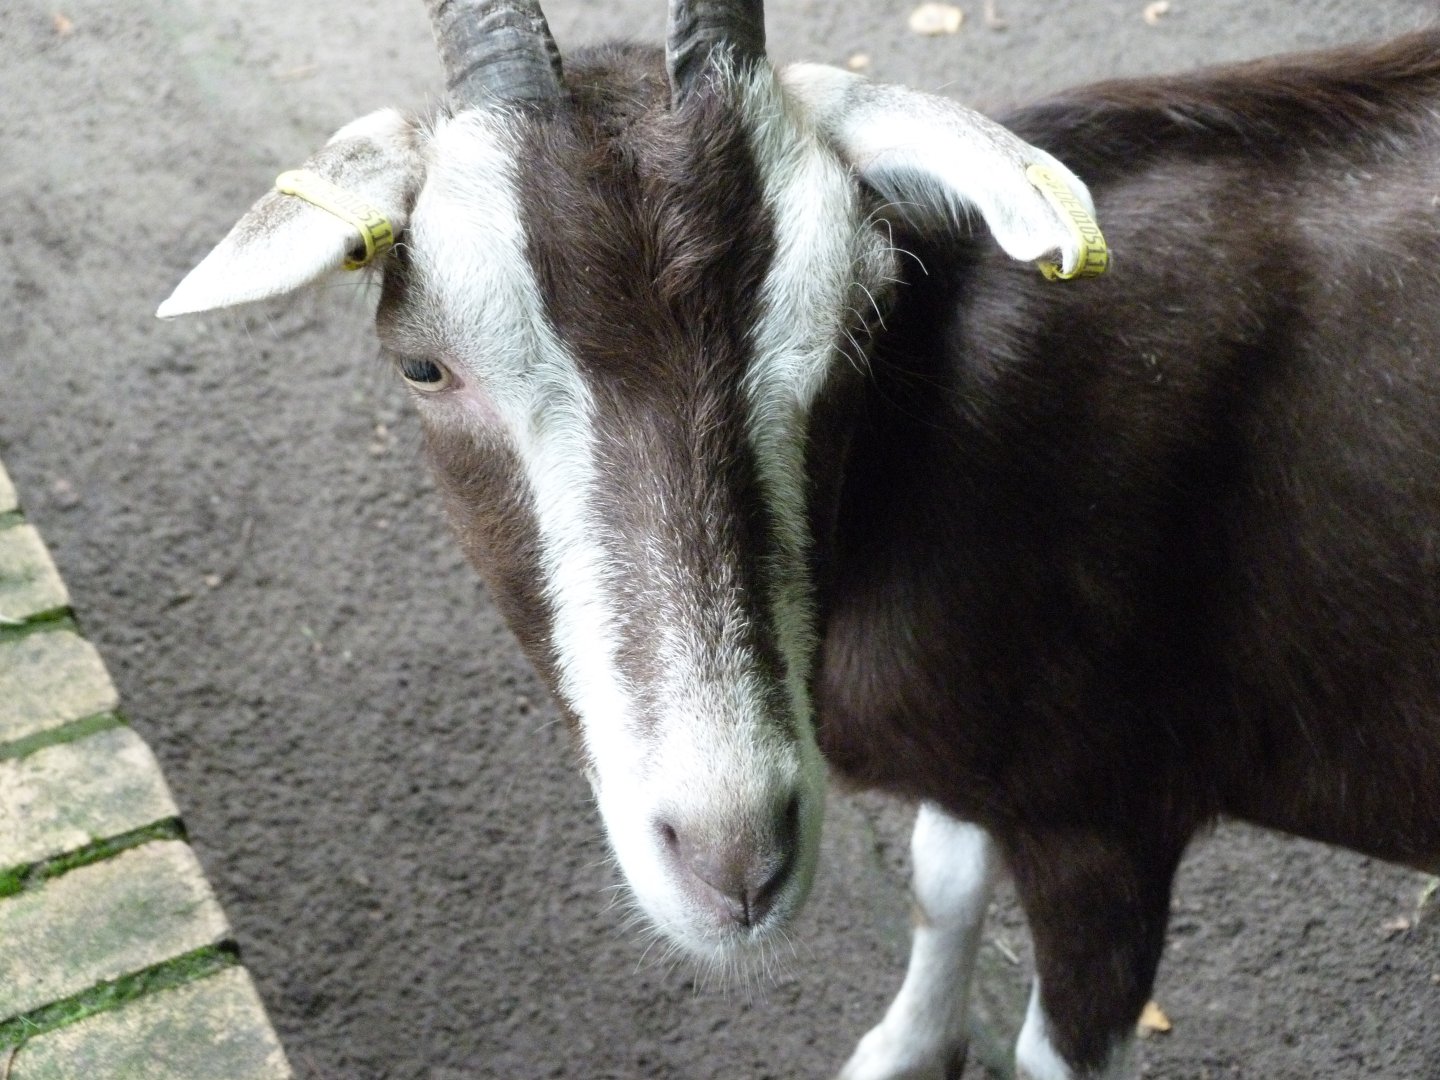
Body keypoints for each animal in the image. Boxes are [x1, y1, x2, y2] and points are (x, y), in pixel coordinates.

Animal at [157, 1, 1440, 1076]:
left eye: (865, 310)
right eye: (424, 364)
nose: (731, 858)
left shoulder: (1111, 821)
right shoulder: (992, 752)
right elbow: (942, 878)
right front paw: (903, 1049)